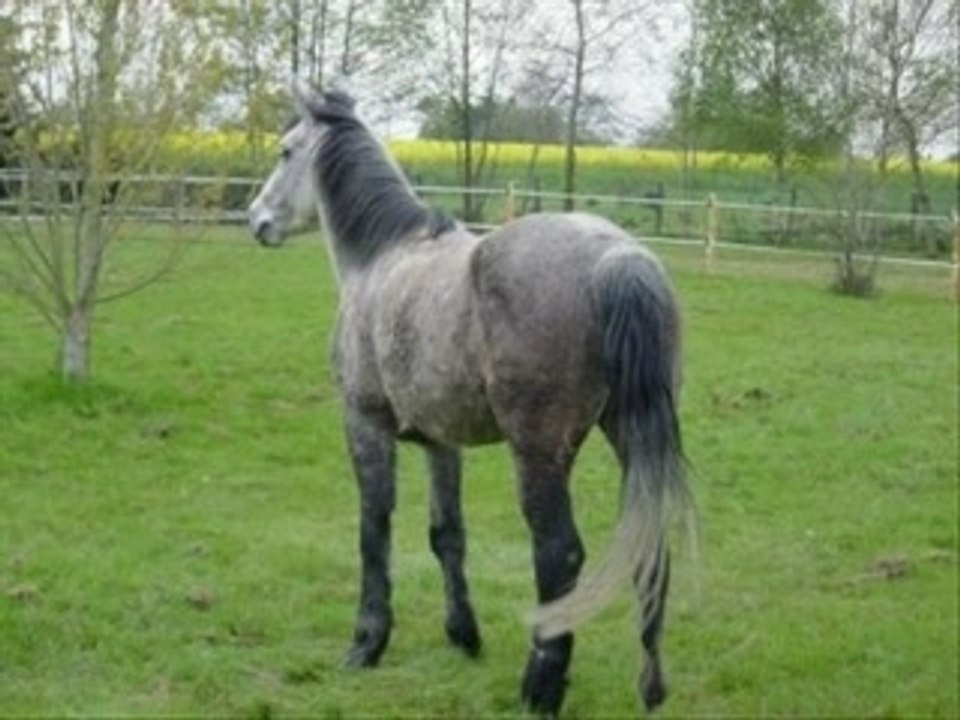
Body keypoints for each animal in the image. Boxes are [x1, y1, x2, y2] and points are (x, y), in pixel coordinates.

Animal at [247, 88, 693, 716]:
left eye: (286, 151)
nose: (257, 220)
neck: (381, 256)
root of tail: (617, 258)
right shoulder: (440, 442)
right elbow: (447, 534)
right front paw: (463, 634)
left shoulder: (364, 424)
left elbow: (373, 529)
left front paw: (367, 643)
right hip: (629, 433)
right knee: (650, 544)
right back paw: (651, 687)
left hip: (540, 452)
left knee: (559, 555)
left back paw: (540, 687)